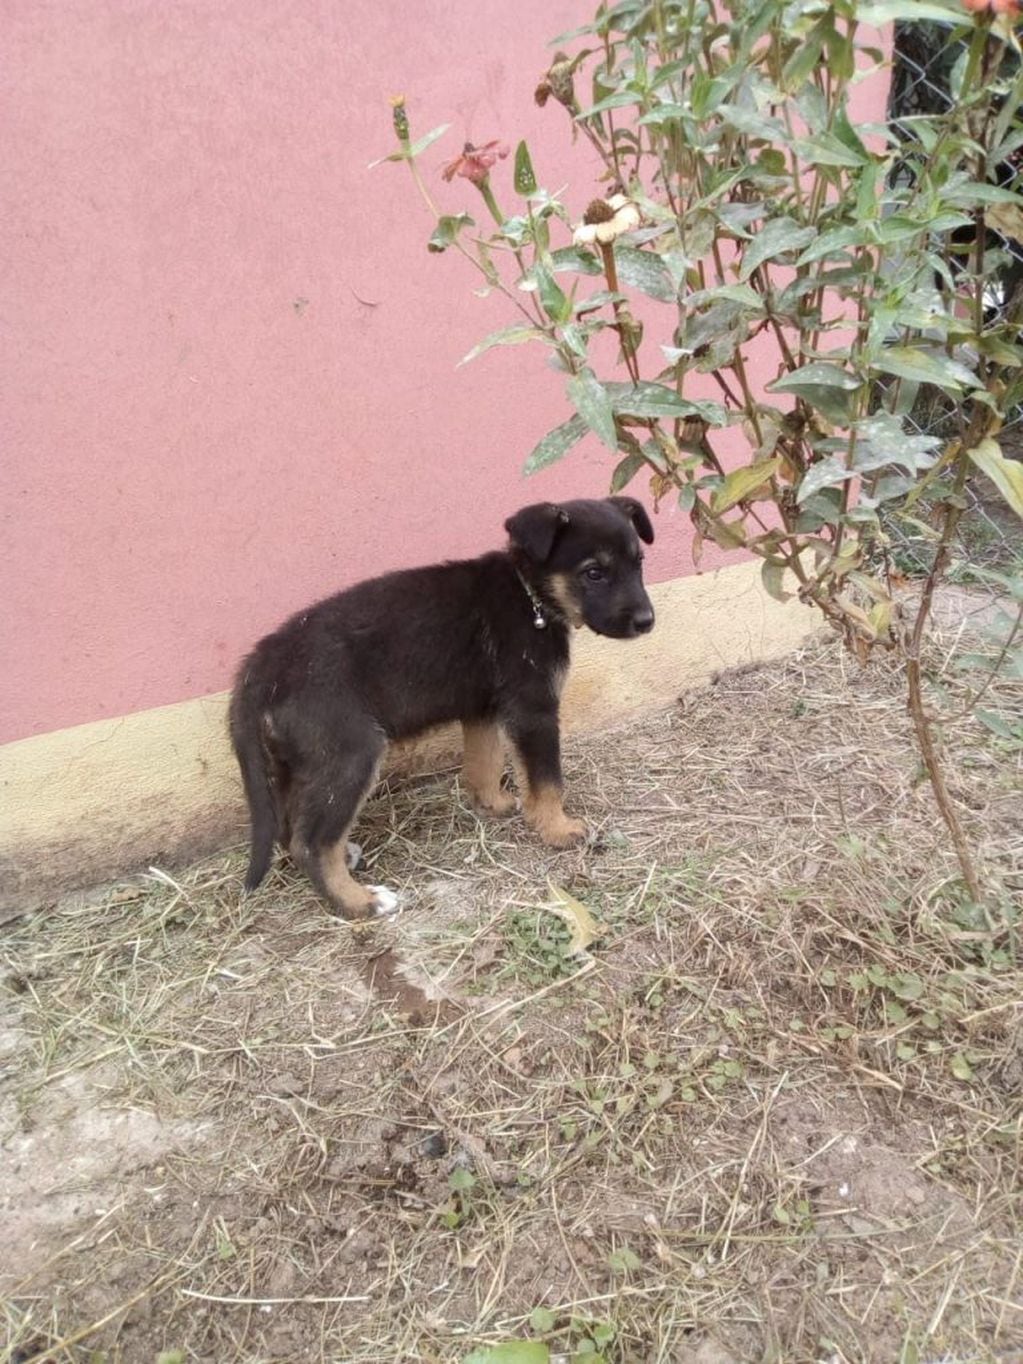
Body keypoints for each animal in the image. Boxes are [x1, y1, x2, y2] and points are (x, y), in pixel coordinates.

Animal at [230, 496, 657, 922]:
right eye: (594, 573)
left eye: (638, 563)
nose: (647, 622)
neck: (528, 593)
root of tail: (260, 665)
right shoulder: (534, 710)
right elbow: (548, 780)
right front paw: (558, 829)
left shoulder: (483, 709)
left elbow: (485, 763)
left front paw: (493, 804)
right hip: (351, 753)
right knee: (312, 843)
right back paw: (359, 900)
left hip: (300, 759)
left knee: (291, 825)